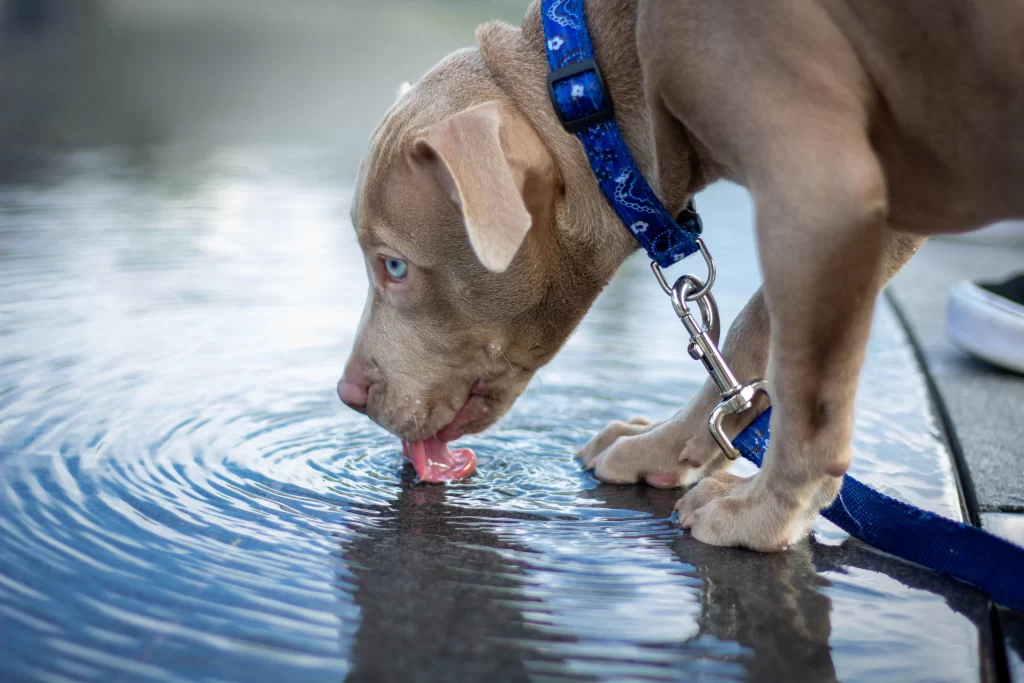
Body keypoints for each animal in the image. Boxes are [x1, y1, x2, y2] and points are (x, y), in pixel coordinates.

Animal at [337, 0, 1024, 552]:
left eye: (394, 266)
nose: (346, 395)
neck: (592, 93)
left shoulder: (821, 194)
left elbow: (808, 392)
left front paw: (762, 516)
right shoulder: (880, 207)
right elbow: (748, 338)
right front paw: (667, 448)